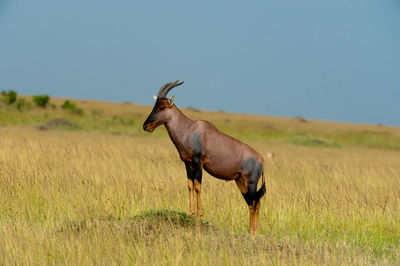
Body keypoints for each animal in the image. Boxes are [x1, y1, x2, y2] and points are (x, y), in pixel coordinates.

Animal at [143, 80, 266, 234]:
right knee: (251, 203)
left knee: (256, 202)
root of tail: (261, 160)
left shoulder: (198, 164)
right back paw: (251, 232)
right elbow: (189, 185)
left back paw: (254, 232)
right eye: (154, 105)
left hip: (251, 183)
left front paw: (198, 215)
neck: (190, 130)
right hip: (241, 183)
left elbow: (197, 187)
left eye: (162, 107)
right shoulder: (188, 164)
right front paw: (190, 213)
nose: (146, 126)